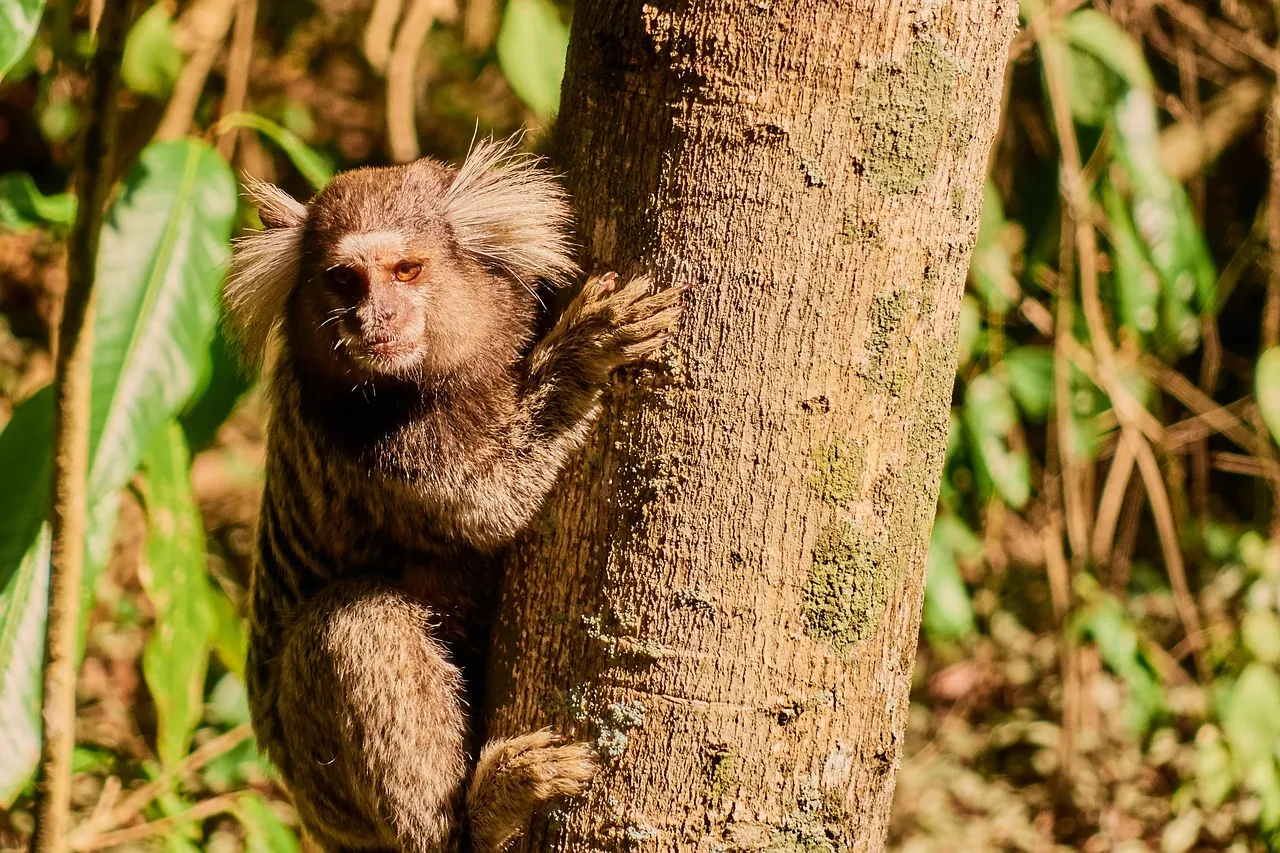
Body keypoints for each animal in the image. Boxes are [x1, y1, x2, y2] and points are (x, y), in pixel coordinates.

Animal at [221, 137, 686, 853]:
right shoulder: (370, 441)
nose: (374, 320)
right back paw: (489, 812)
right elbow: (491, 507)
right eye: (344, 280)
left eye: (406, 270)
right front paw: (581, 355)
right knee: (355, 621)